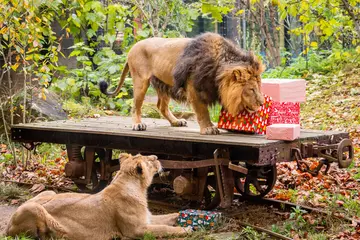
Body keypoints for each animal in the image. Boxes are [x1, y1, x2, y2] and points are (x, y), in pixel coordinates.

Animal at [6, 155, 191, 239]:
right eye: (149, 160)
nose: (157, 157)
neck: (138, 189)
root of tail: (7, 225)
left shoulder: (148, 219)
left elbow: (169, 217)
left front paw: (187, 215)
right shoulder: (135, 230)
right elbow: (165, 228)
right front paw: (186, 229)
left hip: (49, 192)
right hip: (34, 208)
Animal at [100, 31, 266, 134]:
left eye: (259, 87)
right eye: (251, 89)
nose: (262, 102)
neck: (219, 65)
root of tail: (132, 47)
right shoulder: (194, 87)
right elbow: (202, 111)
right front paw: (209, 129)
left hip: (165, 83)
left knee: (161, 106)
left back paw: (176, 122)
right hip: (140, 81)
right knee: (136, 105)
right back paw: (137, 124)